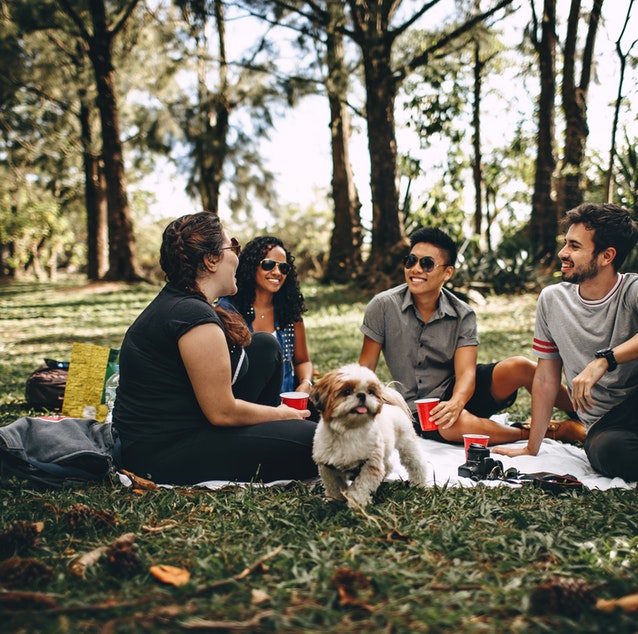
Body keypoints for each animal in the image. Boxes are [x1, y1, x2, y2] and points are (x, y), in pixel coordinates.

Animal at [310, 362, 430, 506]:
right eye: (346, 392)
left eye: (370, 392)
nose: (362, 395)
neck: (349, 430)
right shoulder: (328, 467)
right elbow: (334, 486)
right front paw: (334, 500)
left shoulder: (370, 464)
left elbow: (360, 486)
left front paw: (356, 503)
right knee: (388, 466)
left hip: (407, 445)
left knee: (417, 464)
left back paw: (418, 484)